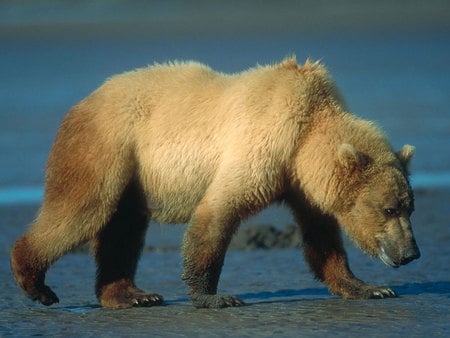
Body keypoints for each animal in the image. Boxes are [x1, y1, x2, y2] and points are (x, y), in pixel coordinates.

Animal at [10, 57, 420, 308]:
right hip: (105, 147)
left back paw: (131, 294)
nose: (411, 253)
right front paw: (215, 296)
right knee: (81, 210)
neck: (305, 133)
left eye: (409, 207)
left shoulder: (302, 184)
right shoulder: (261, 143)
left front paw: (368, 287)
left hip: (131, 175)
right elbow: (219, 211)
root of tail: (82, 102)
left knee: (122, 230)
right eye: (389, 208)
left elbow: (322, 237)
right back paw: (35, 282)